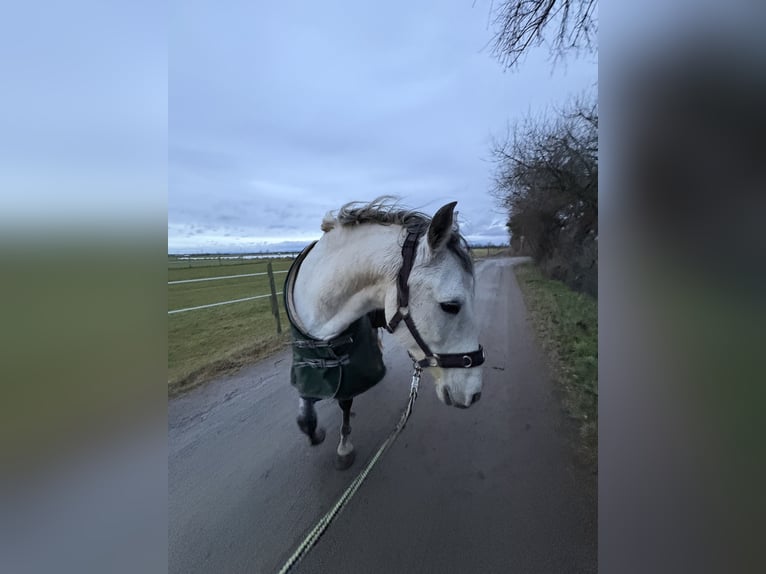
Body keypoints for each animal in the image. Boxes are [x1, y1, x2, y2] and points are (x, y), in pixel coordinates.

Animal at [283, 197, 485, 470]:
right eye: (451, 306)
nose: (474, 393)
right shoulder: (306, 365)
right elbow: (306, 416)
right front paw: (318, 433)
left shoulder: (349, 372)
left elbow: (344, 402)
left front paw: (344, 446)